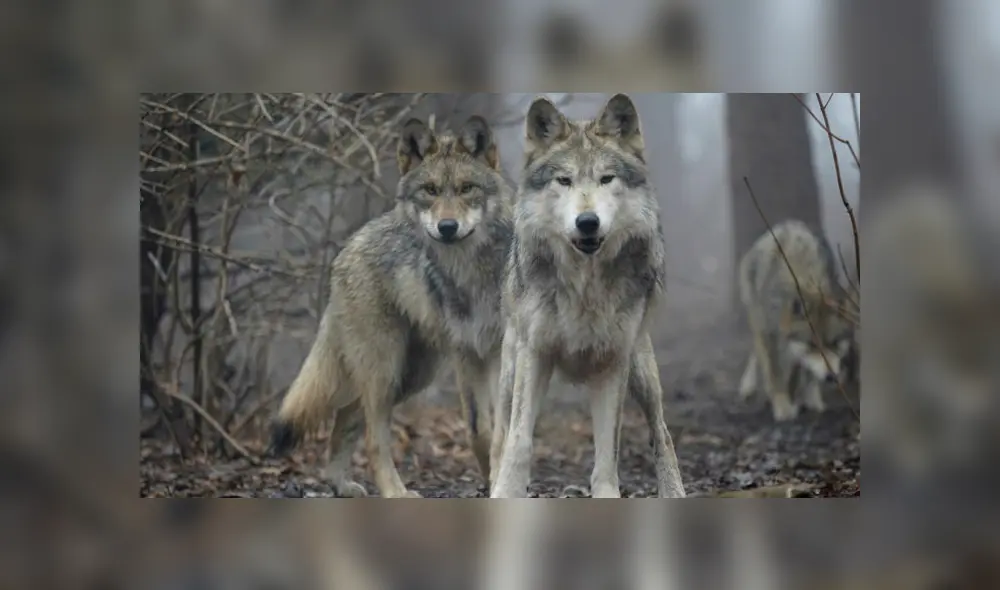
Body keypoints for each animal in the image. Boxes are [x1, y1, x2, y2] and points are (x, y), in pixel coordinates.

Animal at [269, 115, 513, 498]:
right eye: (430, 190)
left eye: (466, 188)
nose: (447, 227)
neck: (473, 273)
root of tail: (349, 244)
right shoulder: (467, 355)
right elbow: (480, 431)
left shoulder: (504, 352)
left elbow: (504, 431)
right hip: (387, 371)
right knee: (372, 438)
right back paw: (393, 491)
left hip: (410, 375)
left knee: (346, 416)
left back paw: (341, 484)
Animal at [489, 94, 687, 498]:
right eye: (564, 181)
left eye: (606, 178)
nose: (587, 222)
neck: (585, 283)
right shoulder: (534, 354)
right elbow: (519, 441)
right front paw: (507, 492)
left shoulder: (613, 362)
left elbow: (607, 452)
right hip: (510, 370)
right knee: (499, 438)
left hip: (641, 370)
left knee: (661, 434)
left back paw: (674, 490)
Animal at [737, 220, 856, 422]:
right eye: (812, 344)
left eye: (834, 343)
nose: (831, 377)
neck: (808, 281)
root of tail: (785, 224)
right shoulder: (772, 336)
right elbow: (775, 374)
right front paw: (783, 408)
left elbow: (806, 373)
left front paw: (812, 402)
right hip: (758, 320)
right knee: (757, 350)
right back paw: (749, 387)